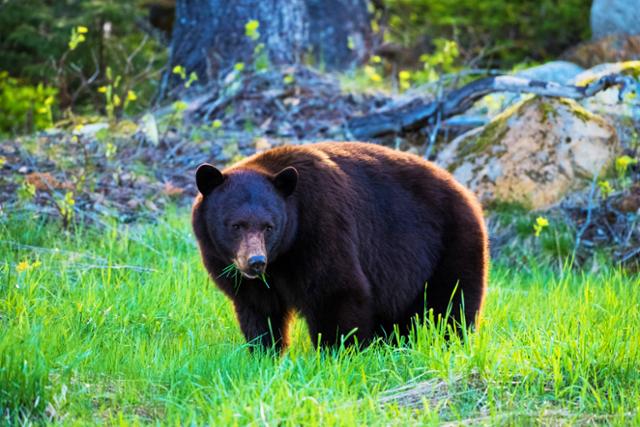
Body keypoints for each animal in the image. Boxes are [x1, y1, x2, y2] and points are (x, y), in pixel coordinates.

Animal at [192, 142, 488, 350]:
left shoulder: (322, 227)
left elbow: (336, 290)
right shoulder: (240, 273)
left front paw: (337, 353)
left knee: (452, 303)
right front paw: (265, 352)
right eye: (236, 225)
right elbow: (258, 310)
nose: (255, 262)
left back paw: (448, 341)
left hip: (450, 244)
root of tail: (468, 194)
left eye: (269, 226)